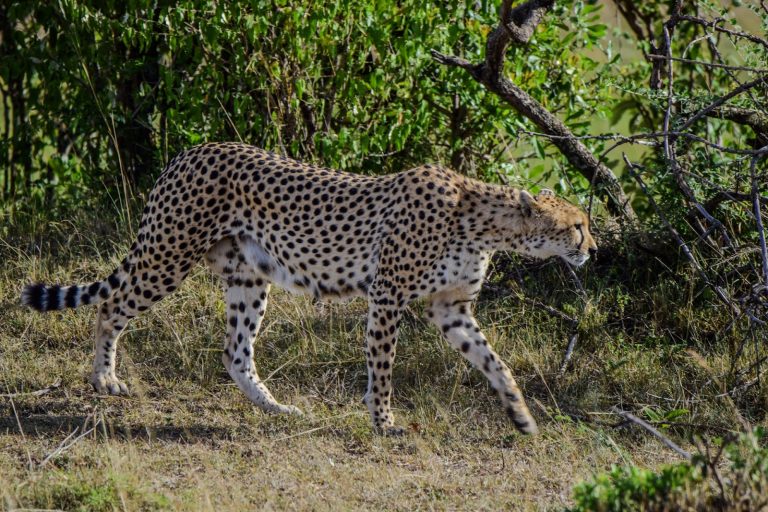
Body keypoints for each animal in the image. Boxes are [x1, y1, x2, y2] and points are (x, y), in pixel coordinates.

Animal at [21, 142, 597, 435]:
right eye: (576, 225)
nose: (592, 247)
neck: (481, 220)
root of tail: (193, 149)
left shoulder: (450, 308)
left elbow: (496, 363)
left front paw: (521, 416)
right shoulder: (387, 296)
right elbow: (382, 369)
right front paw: (384, 422)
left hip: (248, 277)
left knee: (235, 351)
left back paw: (276, 409)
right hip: (168, 256)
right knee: (110, 308)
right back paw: (104, 379)